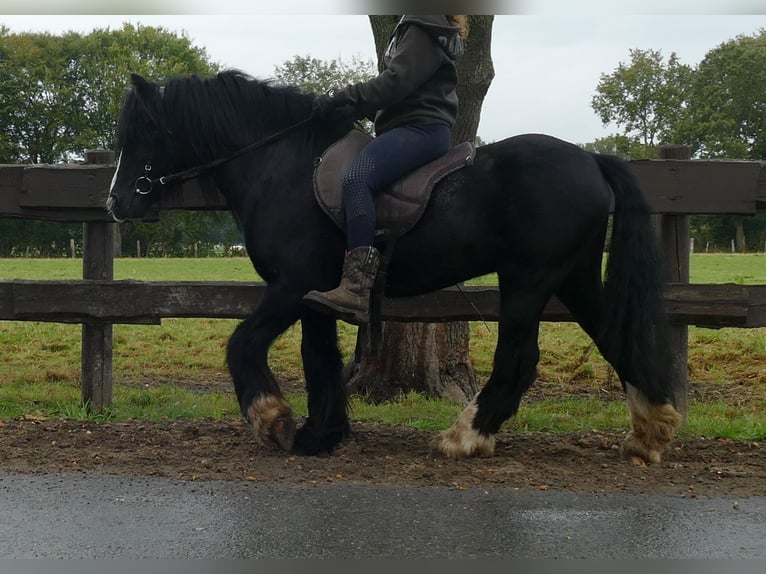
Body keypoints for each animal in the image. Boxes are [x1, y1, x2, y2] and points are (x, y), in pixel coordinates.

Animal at [106, 72, 684, 466]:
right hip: (573, 278)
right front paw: (321, 435)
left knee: (519, 359)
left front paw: (273, 420)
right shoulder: (316, 295)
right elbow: (319, 360)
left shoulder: (291, 286)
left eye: (144, 132)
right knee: (616, 337)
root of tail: (590, 160)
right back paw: (650, 430)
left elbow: (243, 344)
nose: (115, 203)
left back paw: (465, 436)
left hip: (529, 280)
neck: (282, 166)